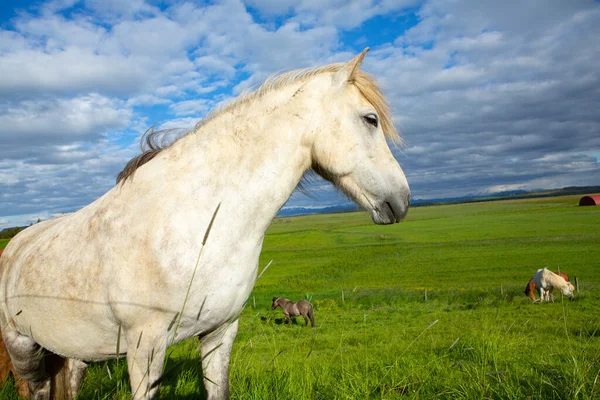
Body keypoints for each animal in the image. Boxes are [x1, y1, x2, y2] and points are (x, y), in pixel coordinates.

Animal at [0, 49, 410, 400]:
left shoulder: (220, 332)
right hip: (22, 346)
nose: (403, 200)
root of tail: (14, 247)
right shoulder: (144, 346)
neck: (193, 226)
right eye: (370, 119)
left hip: (72, 350)